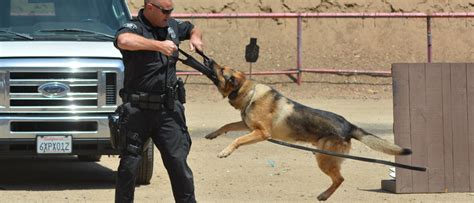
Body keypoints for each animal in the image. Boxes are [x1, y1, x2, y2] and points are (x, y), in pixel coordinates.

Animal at [204, 62, 412, 201]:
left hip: (324, 159)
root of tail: (348, 125)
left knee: (340, 178)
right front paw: (213, 134)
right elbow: (227, 126)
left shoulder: (261, 133)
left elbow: (237, 140)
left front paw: (225, 151)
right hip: (323, 157)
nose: (209, 61)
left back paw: (324, 195)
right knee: (339, 178)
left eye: (221, 70)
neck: (248, 92)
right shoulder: (247, 126)